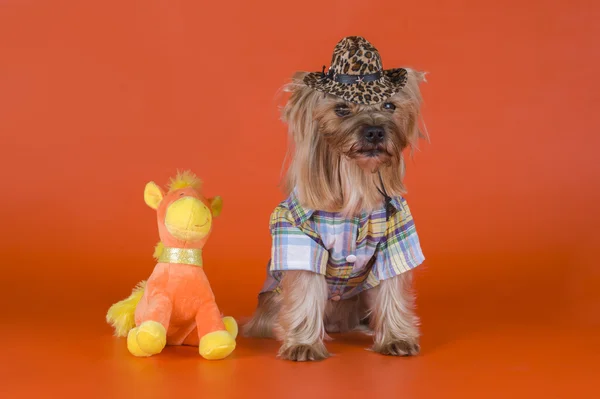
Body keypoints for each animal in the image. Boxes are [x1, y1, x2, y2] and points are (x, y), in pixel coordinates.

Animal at [243, 36, 426, 362]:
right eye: (341, 109)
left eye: (390, 106)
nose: (375, 131)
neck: (357, 181)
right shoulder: (299, 237)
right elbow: (305, 288)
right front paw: (303, 344)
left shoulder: (396, 237)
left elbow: (392, 288)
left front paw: (396, 338)